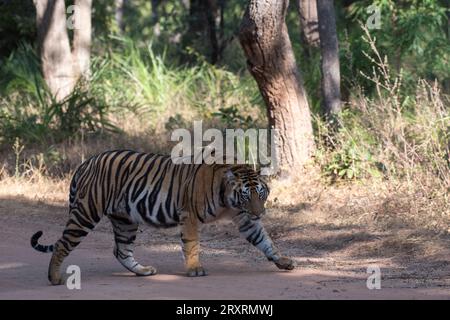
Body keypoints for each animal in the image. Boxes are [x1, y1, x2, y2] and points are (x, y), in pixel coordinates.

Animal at [29, 150, 298, 284]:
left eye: (261, 195)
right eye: (246, 197)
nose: (260, 213)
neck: (228, 200)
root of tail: (86, 163)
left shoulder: (244, 219)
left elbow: (265, 240)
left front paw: (283, 261)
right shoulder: (190, 215)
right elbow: (191, 244)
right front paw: (194, 269)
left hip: (125, 220)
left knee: (121, 250)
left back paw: (143, 271)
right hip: (87, 212)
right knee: (63, 244)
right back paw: (54, 278)